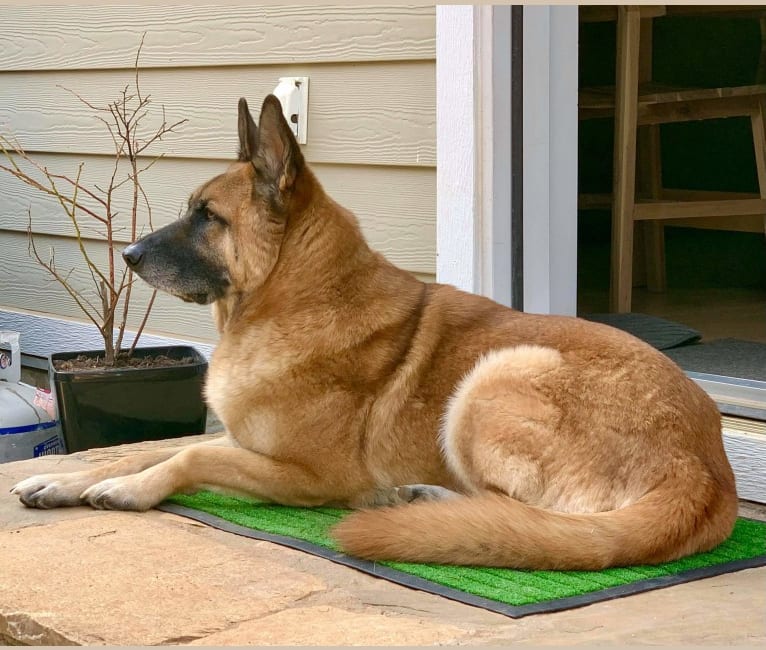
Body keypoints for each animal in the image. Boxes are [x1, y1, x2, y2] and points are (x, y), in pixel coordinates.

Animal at [12, 95, 740, 568]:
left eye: (207, 217)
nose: (128, 256)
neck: (290, 296)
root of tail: (704, 469)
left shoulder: (307, 474)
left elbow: (187, 457)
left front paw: (128, 491)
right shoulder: (239, 440)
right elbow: (145, 449)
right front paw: (68, 479)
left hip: (497, 375)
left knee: (531, 520)